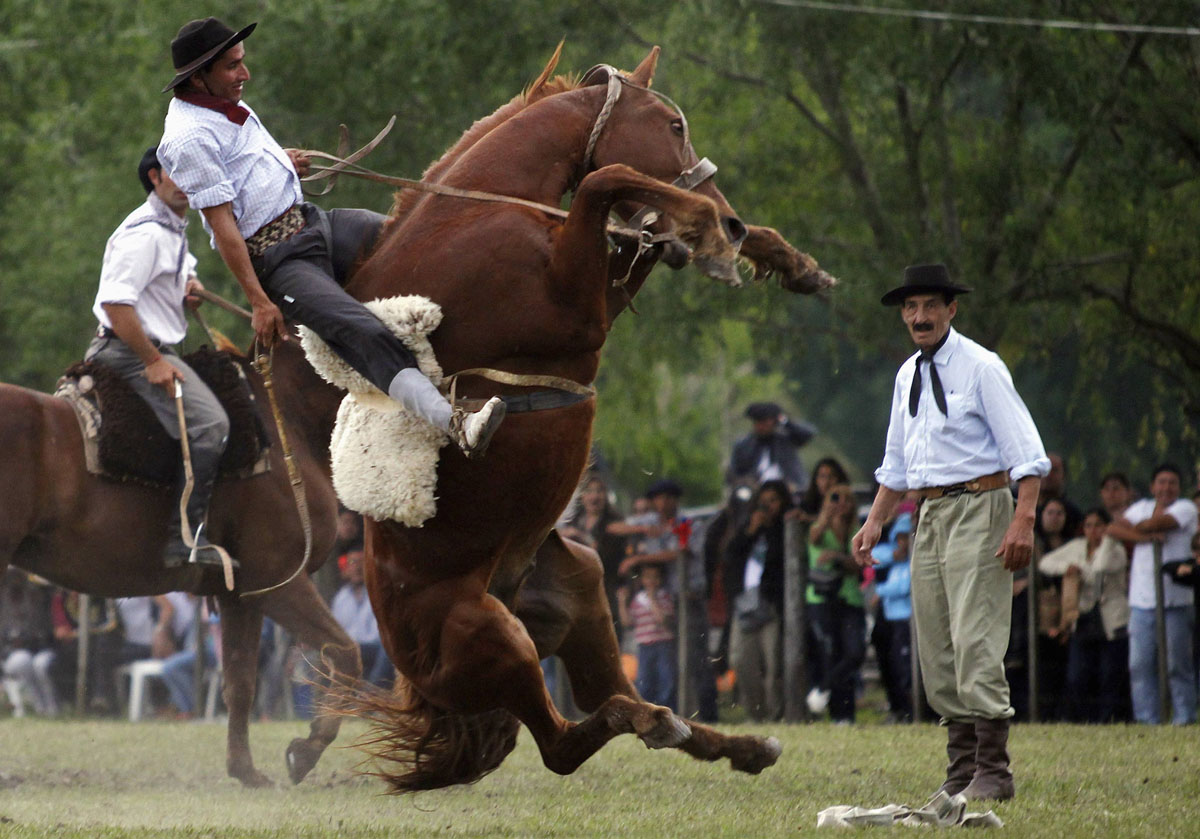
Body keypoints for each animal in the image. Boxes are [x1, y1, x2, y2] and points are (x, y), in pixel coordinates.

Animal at [0, 340, 355, 787]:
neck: (285, 417)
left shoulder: (240, 594)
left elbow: (240, 681)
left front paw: (246, 771)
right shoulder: (278, 580)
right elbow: (343, 651)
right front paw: (306, 750)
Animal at [328, 45, 835, 792]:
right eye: (673, 124)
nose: (732, 217)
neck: (478, 216)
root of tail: (410, 671)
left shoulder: (597, 295)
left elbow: (627, 221)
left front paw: (778, 256)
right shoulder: (575, 312)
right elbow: (608, 181)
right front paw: (709, 233)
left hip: (583, 592)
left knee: (603, 695)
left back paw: (733, 741)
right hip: (493, 636)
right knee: (564, 740)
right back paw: (656, 721)